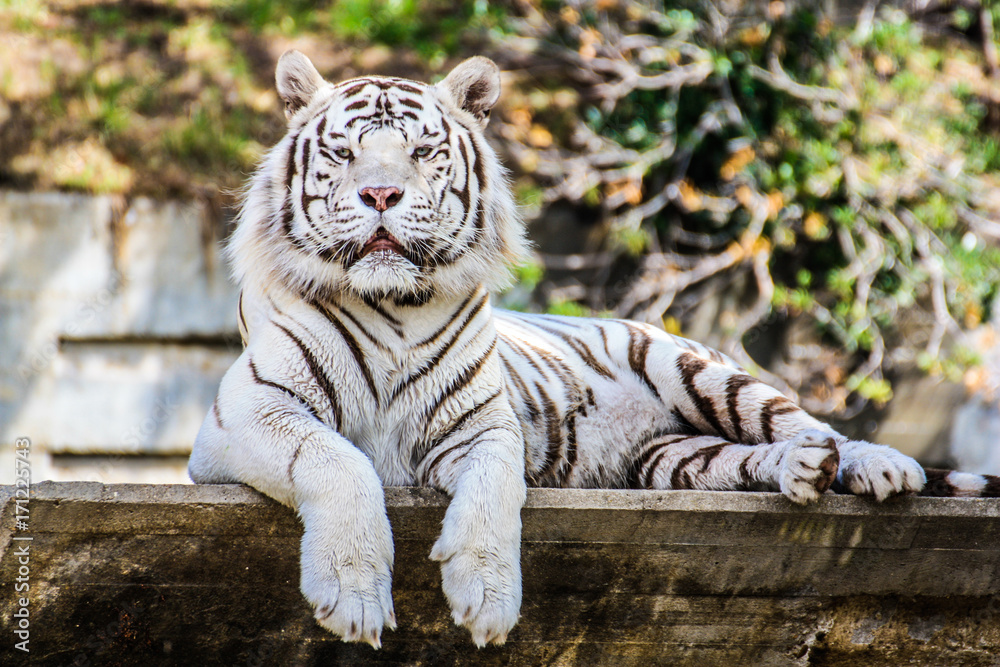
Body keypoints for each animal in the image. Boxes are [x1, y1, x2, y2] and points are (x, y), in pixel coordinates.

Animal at [188, 51, 1000, 649]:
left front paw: (486, 598)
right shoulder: (244, 416)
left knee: (809, 423)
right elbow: (338, 459)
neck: (391, 305)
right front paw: (355, 595)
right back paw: (803, 471)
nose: (381, 195)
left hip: (697, 372)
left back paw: (873, 464)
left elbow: (496, 489)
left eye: (421, 151)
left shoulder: (484, 427)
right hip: (673, 461)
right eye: (343, 153)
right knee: (752, 458)